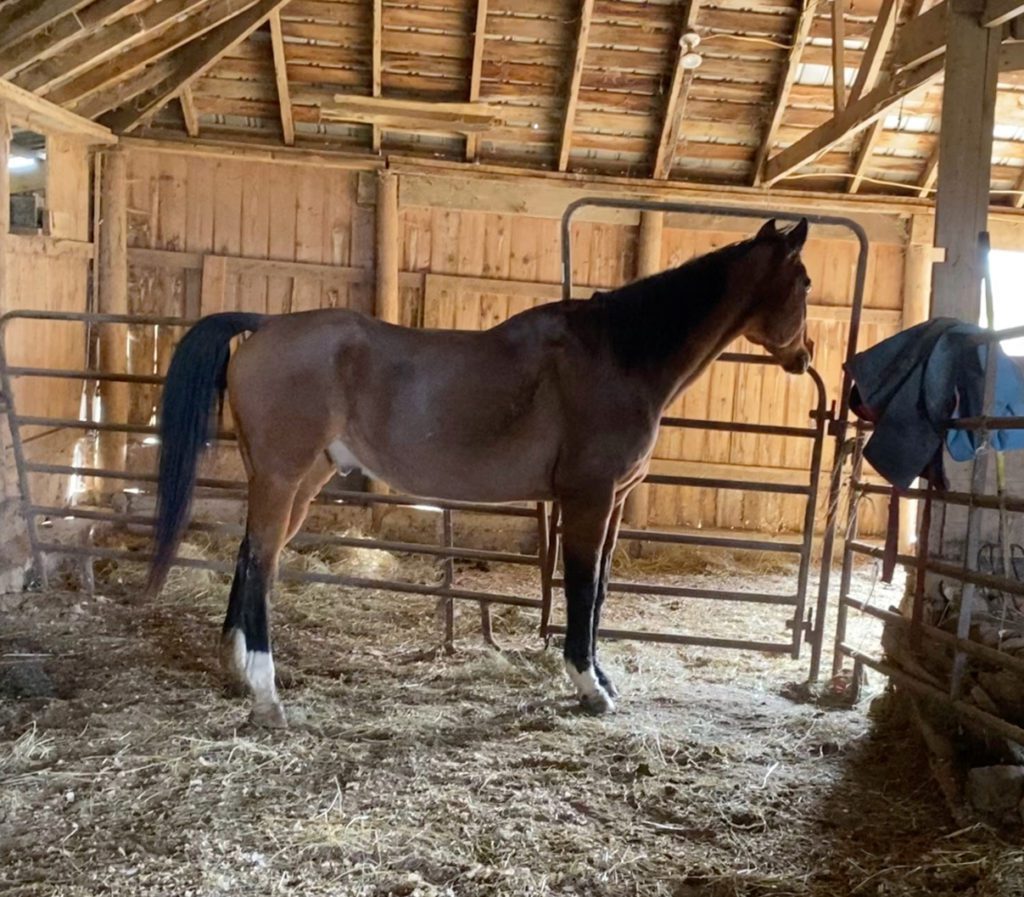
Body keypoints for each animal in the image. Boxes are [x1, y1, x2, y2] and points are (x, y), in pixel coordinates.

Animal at [146, 217, 815, 729]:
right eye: (806, 283)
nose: (805, 357)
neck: (618, 355)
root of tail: (264, 323)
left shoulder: (616, 501)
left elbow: (599, 589)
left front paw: (602, 678)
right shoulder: (589, 497)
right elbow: (580, 588)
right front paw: (587, 685)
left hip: (299, 481)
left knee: (249, 557)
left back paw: (237, 672)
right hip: (284, 478)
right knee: (260, 563)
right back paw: (266, 693)